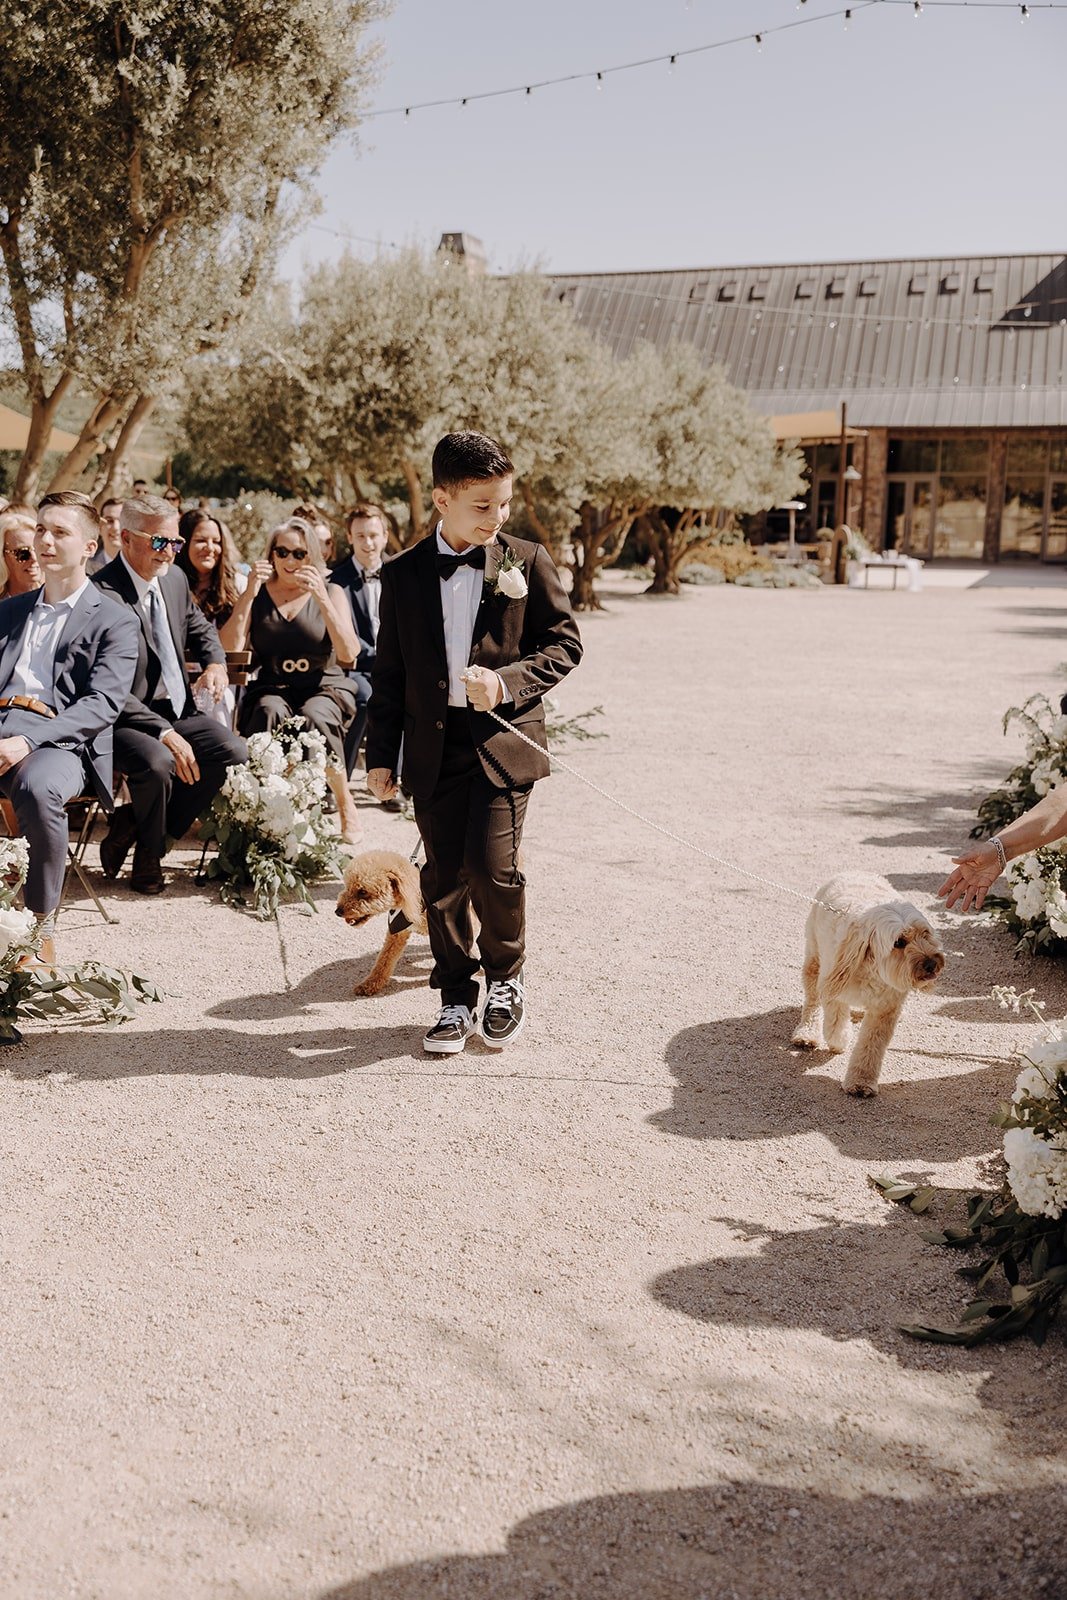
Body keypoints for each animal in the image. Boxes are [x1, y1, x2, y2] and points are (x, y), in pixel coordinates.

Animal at [790, 883, 947, 1094]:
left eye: (925, 934)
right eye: (899, 942)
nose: (931, 964)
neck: (873, 970)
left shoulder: (885, 1009)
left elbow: (870, 1045)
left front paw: (861, 1081)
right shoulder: (833, 984)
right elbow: (835, 1021)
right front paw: (839, 1040)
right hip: (814, 959)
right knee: (813, 1000)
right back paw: (806, 1033)